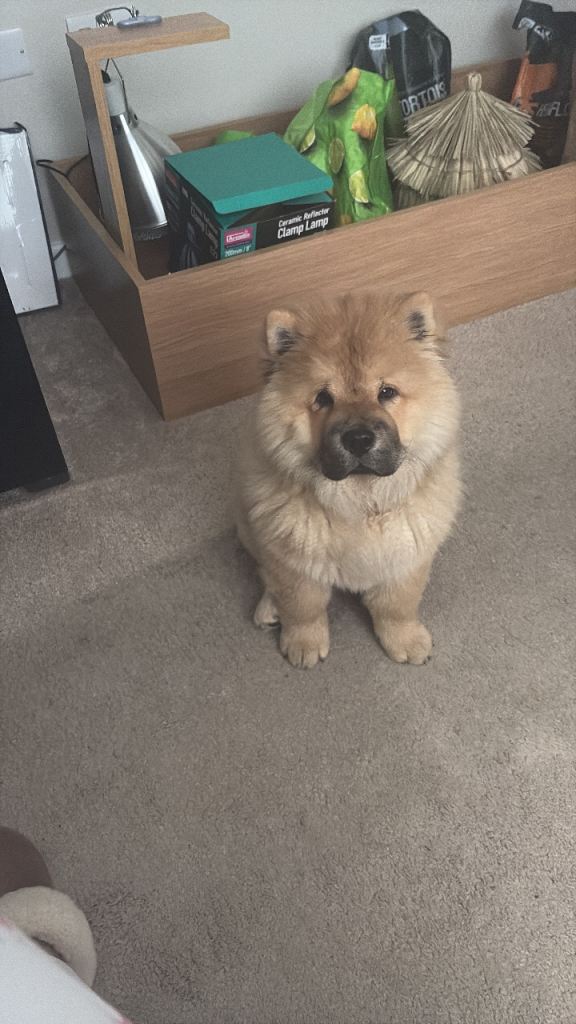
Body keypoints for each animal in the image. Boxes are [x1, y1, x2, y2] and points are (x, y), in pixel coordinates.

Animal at [235, 291, 461, 668]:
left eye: (387, 392)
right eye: (323, 398)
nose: (358, 439)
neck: (360, 502)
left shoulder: (406, 557)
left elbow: (397, 605)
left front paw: (406, 640)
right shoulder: (294, 560)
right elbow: (303, 605)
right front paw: (304, 643)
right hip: (251, 525)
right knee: (265, 571)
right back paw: (269, 609)